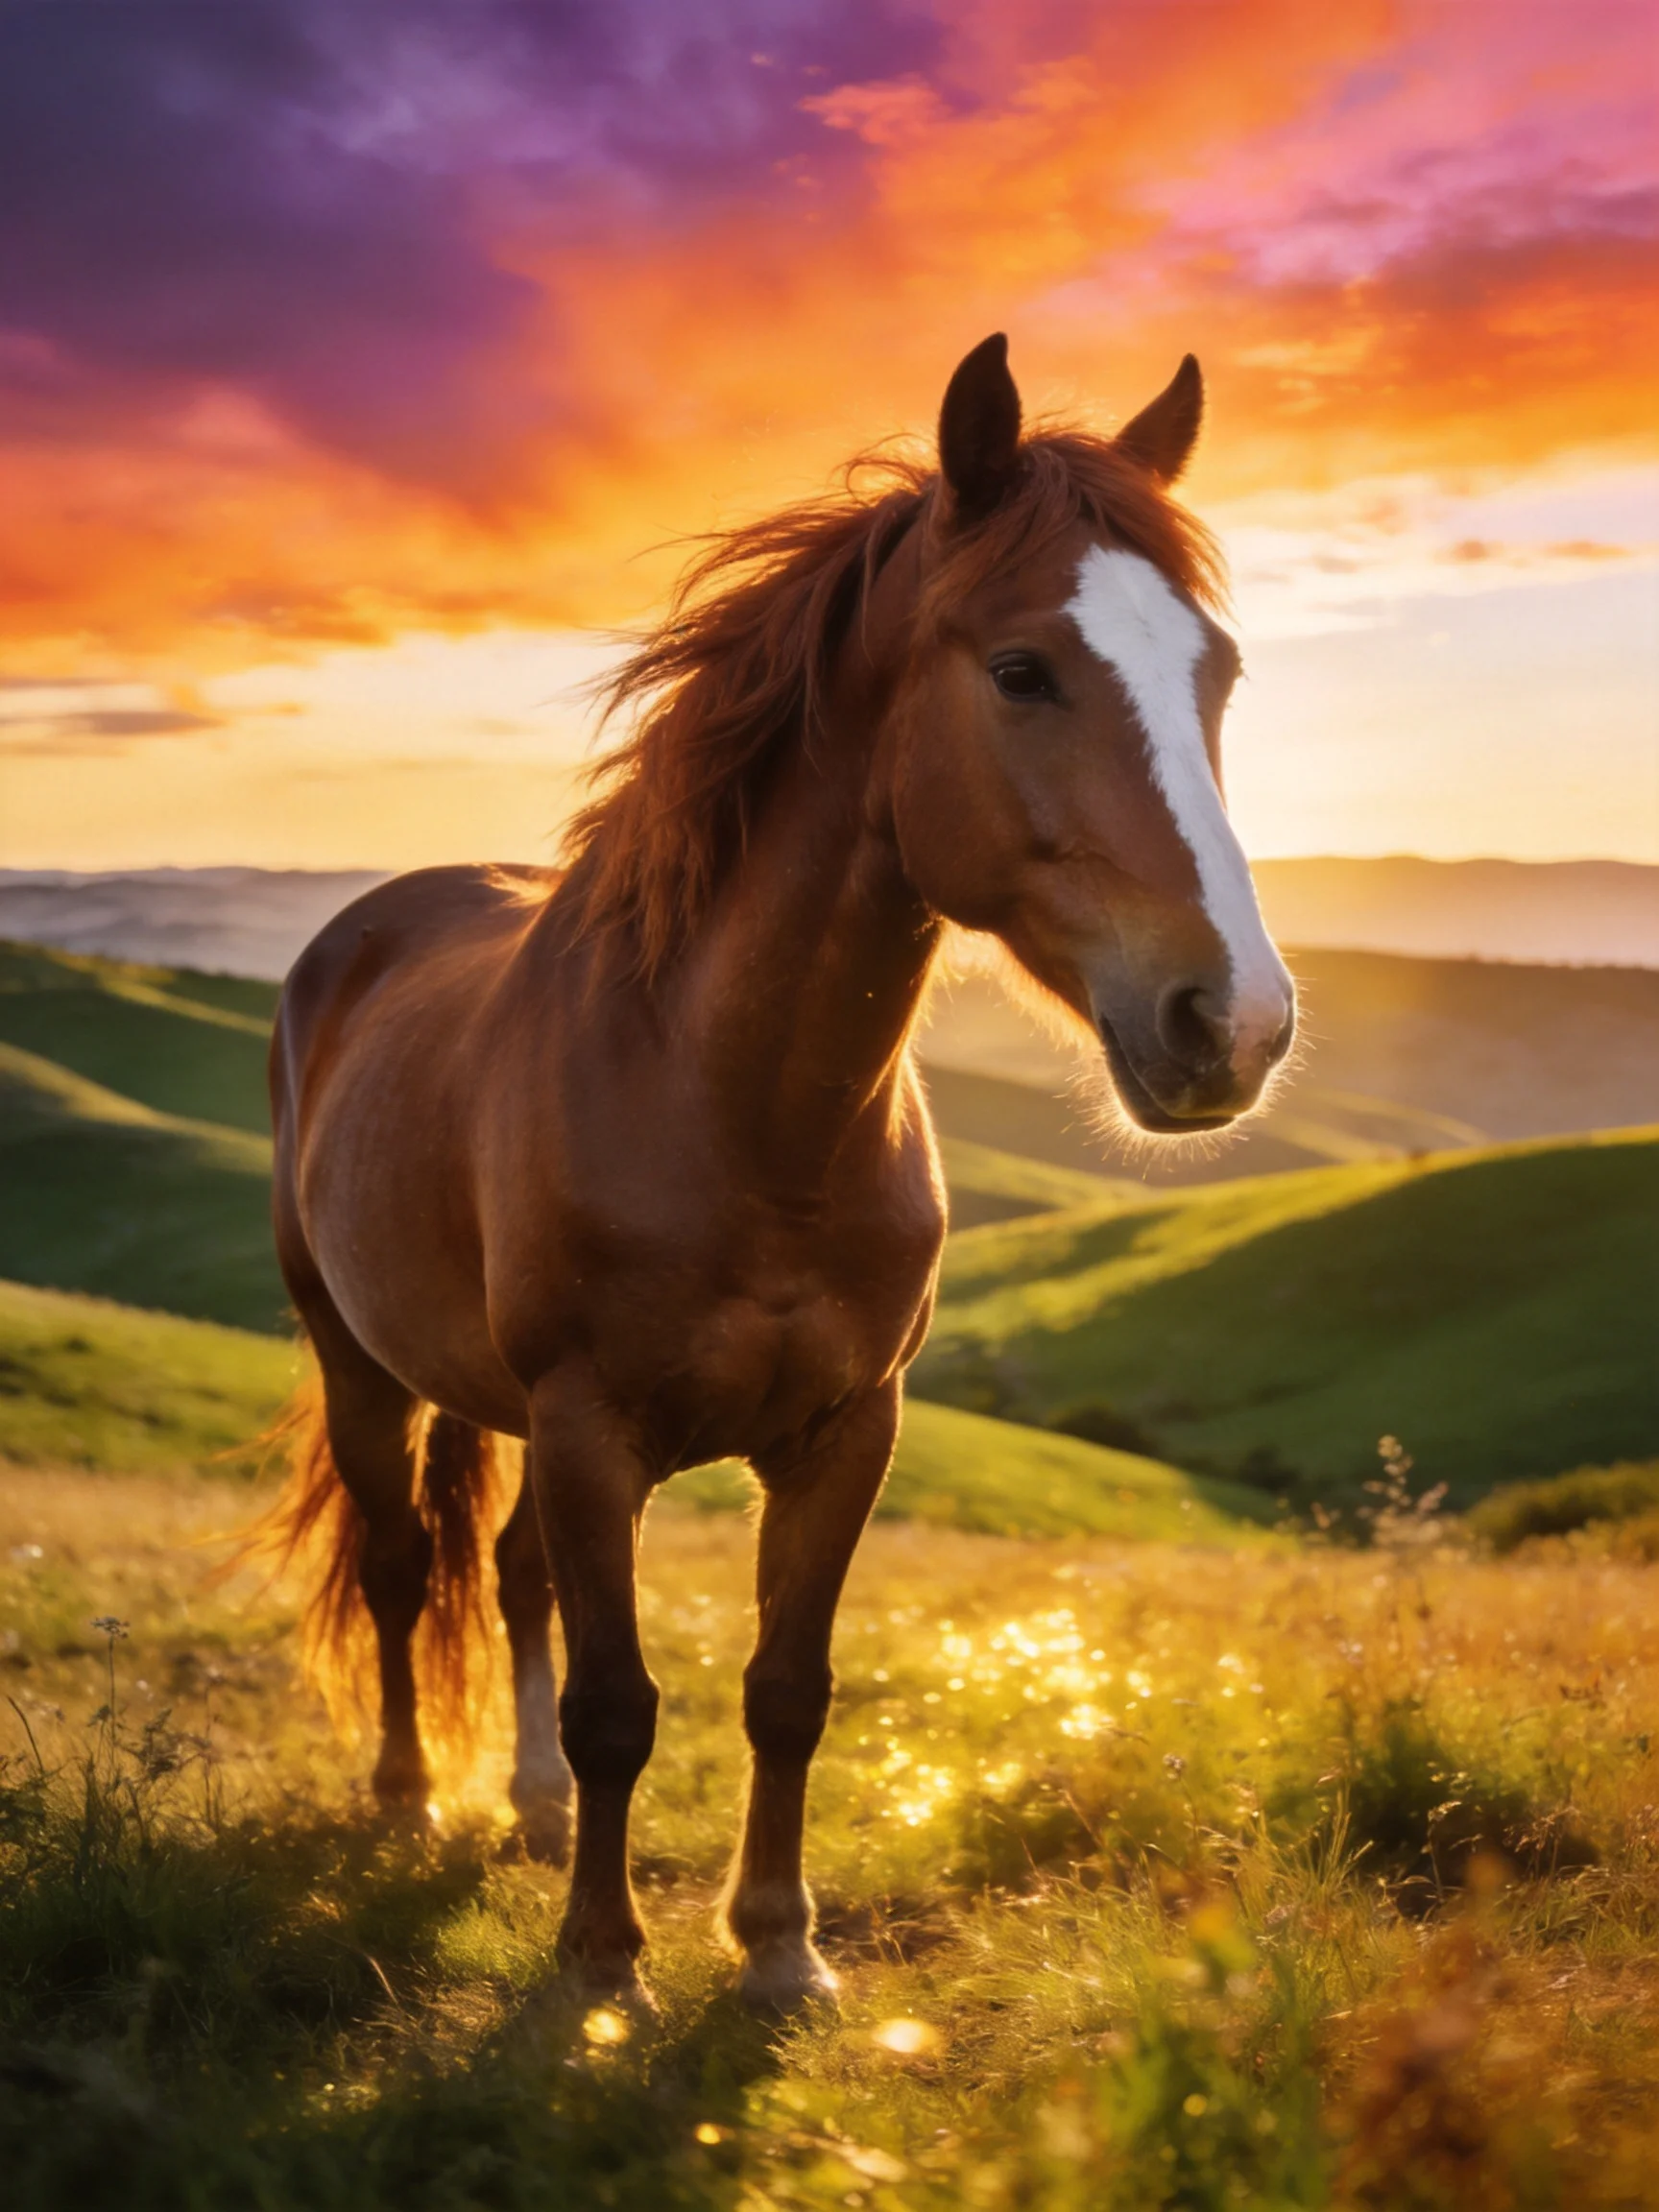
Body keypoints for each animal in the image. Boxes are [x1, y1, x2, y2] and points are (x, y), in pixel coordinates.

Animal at [266, 333, 1295, 2010]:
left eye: (1216, 674)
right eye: (1023, 671)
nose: (1237, 1024)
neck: (740, 1115)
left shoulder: (844, 1431)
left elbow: (787, 1688)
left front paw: (776, 1948)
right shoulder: (592, 1430)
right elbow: (619, 1704)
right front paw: (600, 1966)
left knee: (509, 1575)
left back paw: (530, 1811)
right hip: (363, 1365)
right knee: (407, 1566)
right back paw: (412, 1801)